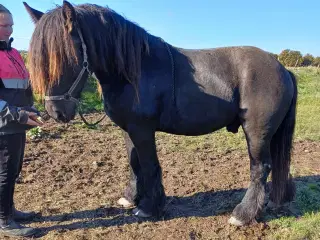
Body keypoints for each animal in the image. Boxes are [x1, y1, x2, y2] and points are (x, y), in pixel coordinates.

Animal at [23, 0, 296, 225]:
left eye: (67, 55)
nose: (56, 111)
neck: (133, 71)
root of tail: (282, 69)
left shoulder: (142, 130)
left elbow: (149, 164)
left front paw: (149, 207)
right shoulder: (128, 129)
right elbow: (134, 163)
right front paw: (130, 197)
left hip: (257, 133)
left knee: (260, 168)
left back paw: (244, 214)